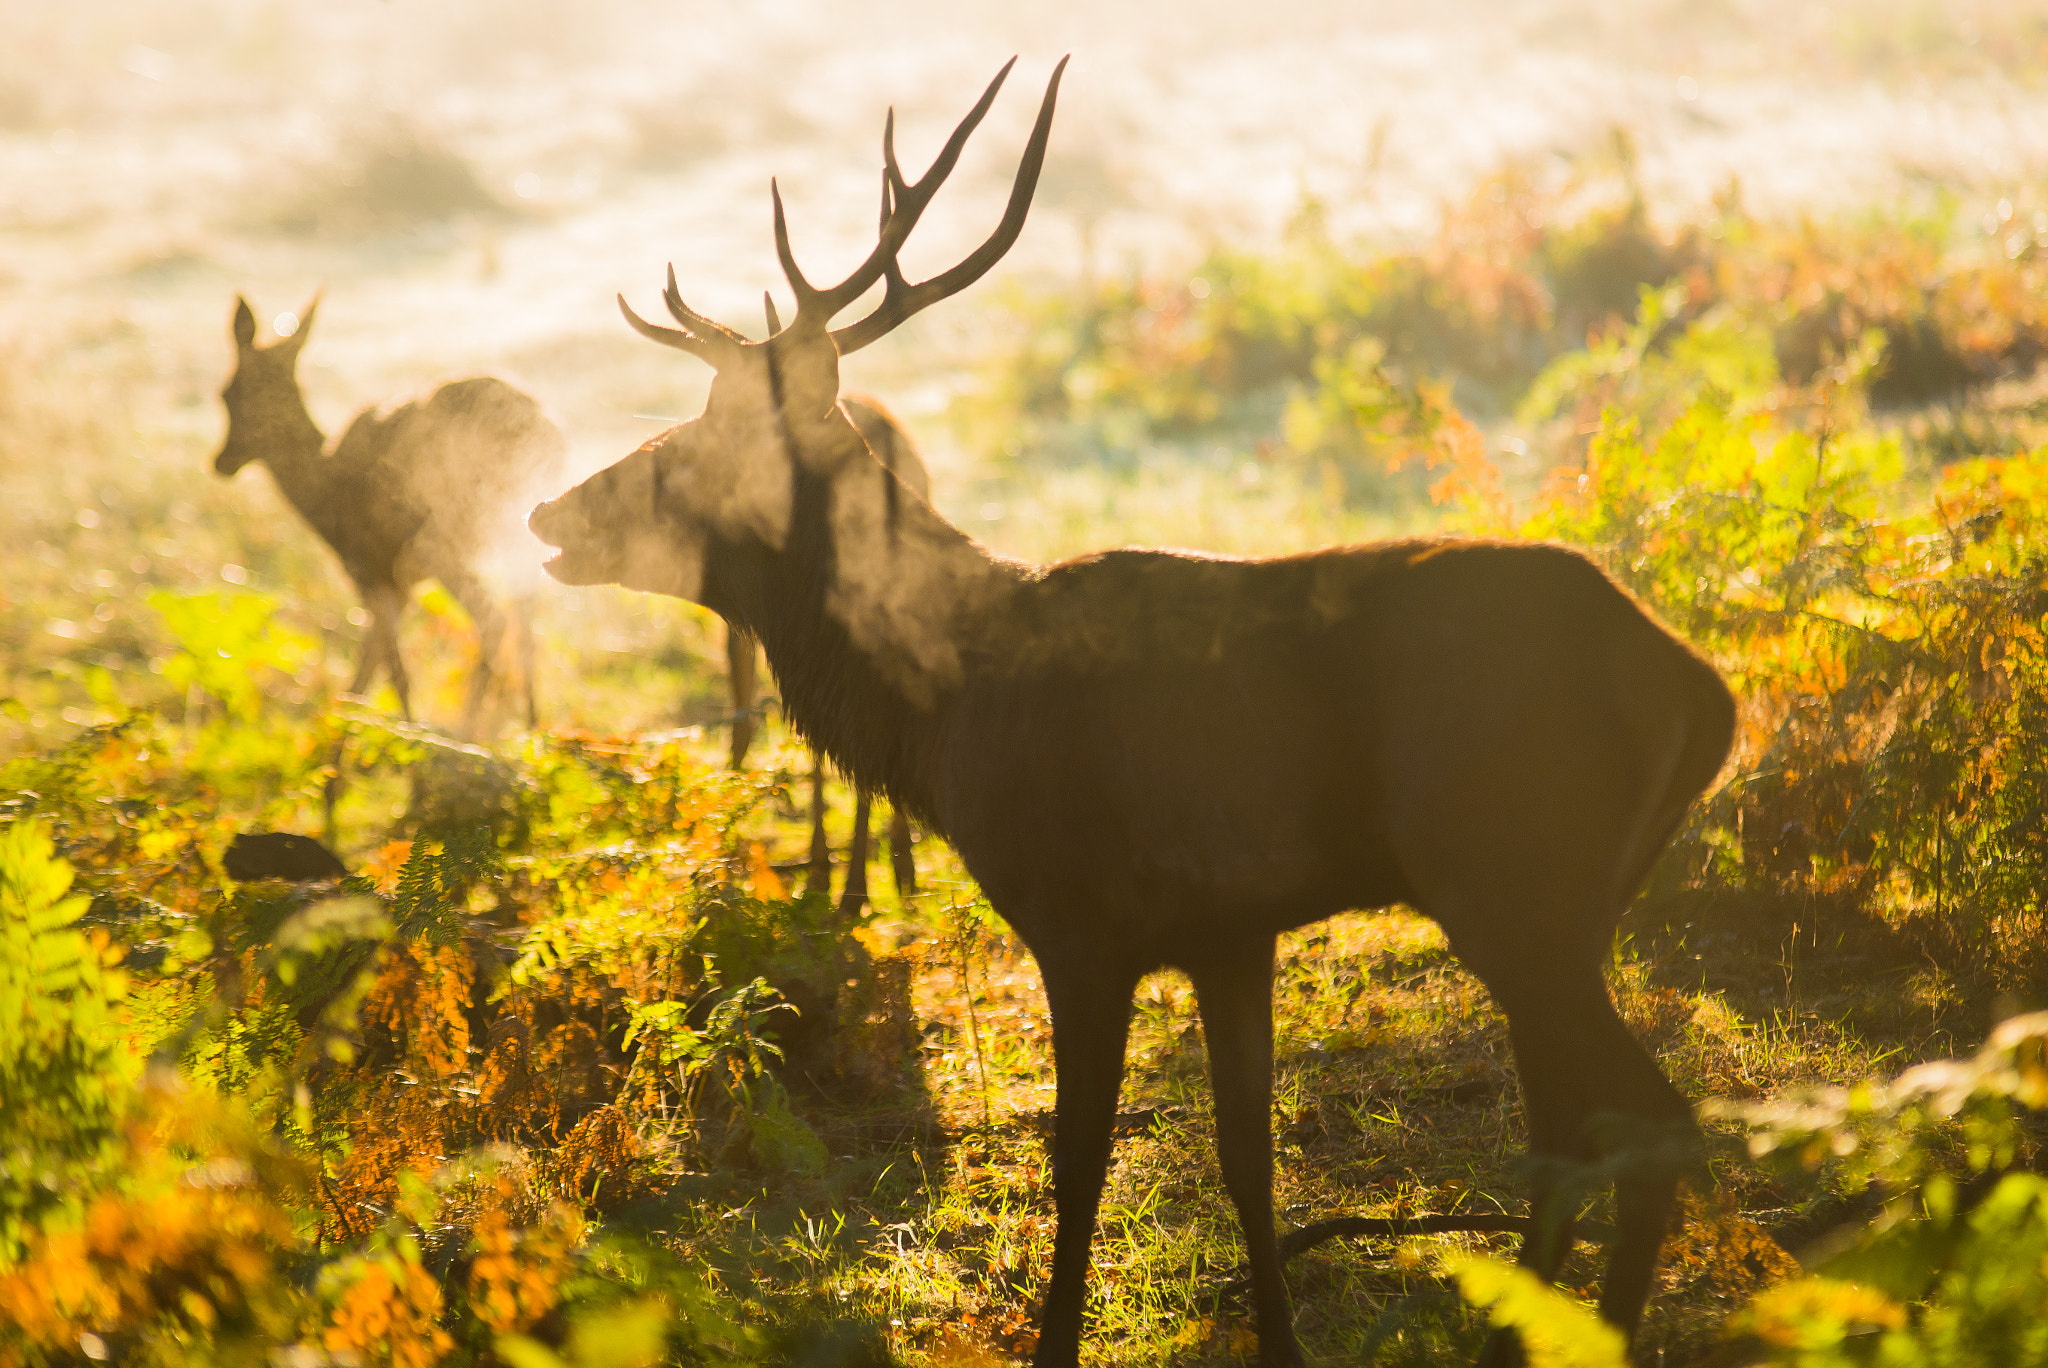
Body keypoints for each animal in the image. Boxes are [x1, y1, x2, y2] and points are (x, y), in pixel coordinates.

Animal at [215, 294, 565, 733]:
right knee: (528, 628)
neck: (323, 498)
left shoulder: (371, 570)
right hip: (522, 532)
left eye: (226, 392)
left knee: (492, 618)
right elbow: (365, 673)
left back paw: (466, 733)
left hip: (443, 535)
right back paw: (533, 731)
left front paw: (401, 733)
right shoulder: (398, 587)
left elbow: (390, 672)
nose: (222, 461)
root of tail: (547, 431)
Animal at [524, 61, 1728, 1368]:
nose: (544, 512)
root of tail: (1696, 688)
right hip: (1573, 906)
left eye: (690, 439)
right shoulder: (1231, 929)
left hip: (1510, 875)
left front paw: (1054, 1339)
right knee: (1569, 1130)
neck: (948, 715)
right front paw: (1278, 1344)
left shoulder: (1079, 917)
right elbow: (1247, 1158)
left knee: (1649, 1124)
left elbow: (1080, 1157)